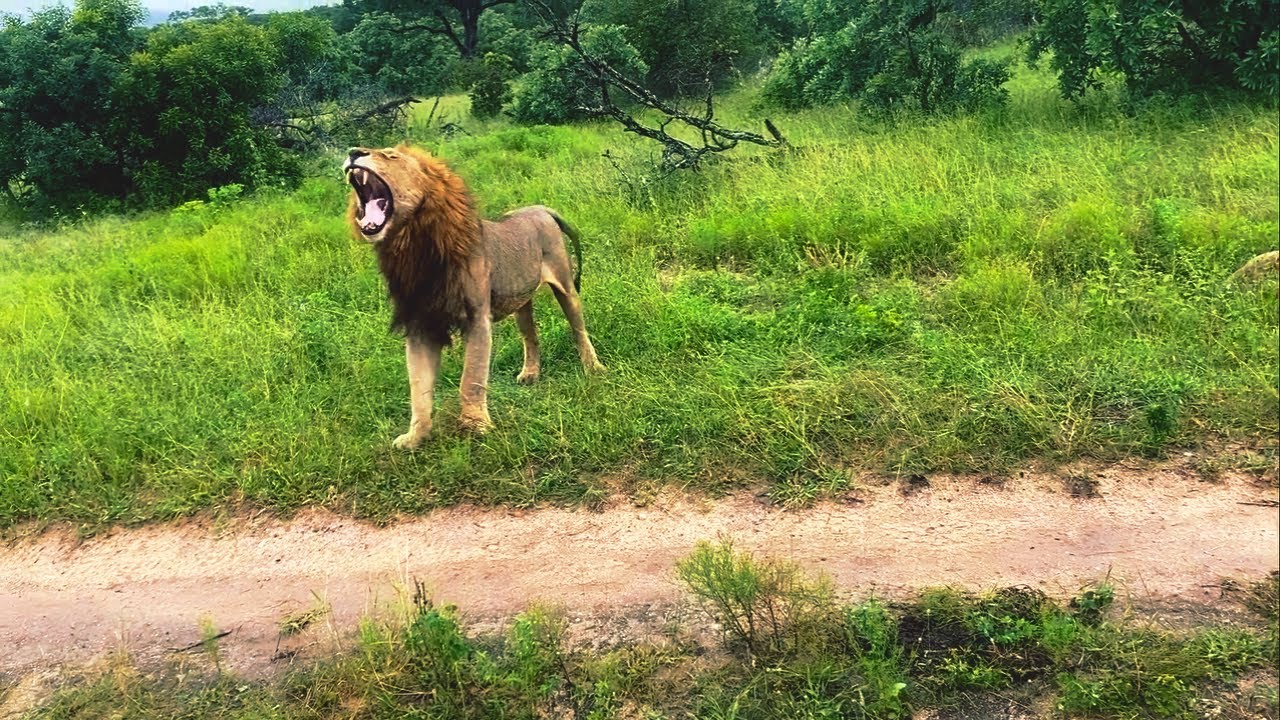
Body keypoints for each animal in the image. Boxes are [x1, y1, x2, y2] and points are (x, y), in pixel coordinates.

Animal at [344, 144, 605, 449]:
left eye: (390, 155)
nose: (353, 151)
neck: (412, 247)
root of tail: (540, 208)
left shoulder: (477, 318)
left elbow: (471, 379)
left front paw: (476, 426)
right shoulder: (420, 325)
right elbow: (418, 388)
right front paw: (415, 437)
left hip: (565, 285)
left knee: (578, 328)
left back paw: (593, 367)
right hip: (521, 299)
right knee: (531, 335)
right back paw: (530, 374)